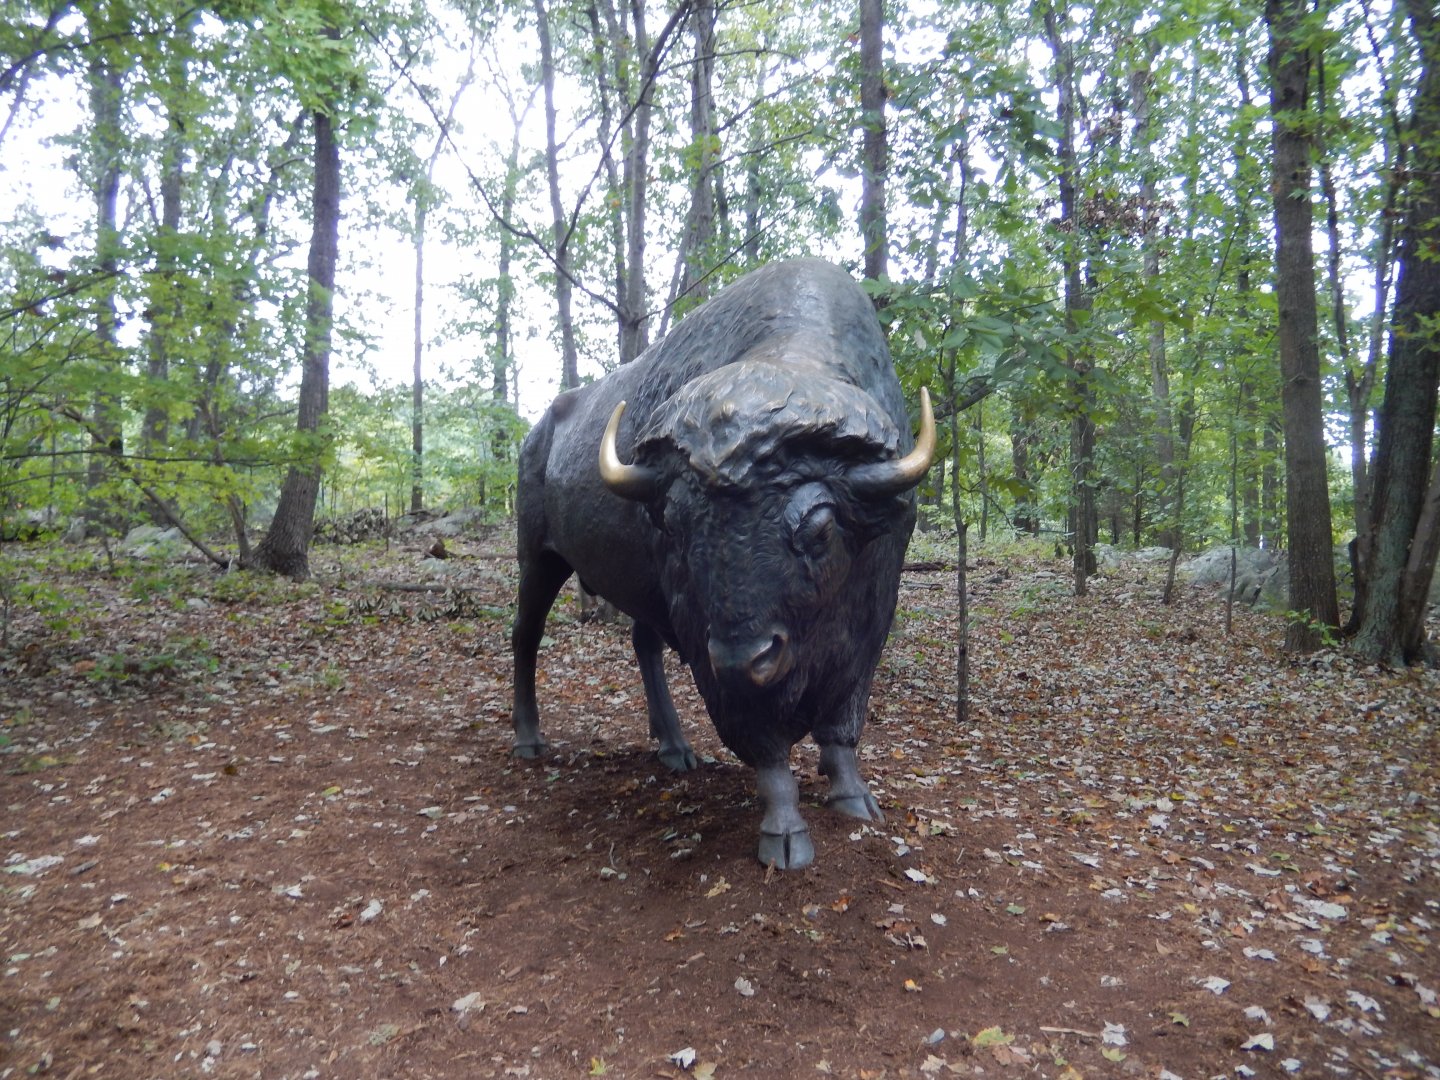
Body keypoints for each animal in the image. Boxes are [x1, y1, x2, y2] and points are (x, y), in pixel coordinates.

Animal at [510, 258, 934, 869]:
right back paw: (529, 740)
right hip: (538, 556)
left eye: (820, 526)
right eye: (676, 522)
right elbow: (764, 743)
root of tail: (536, 434)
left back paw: (675, 748)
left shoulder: (870, 624)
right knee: (526, 634)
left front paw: (855, 800)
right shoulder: (711, 650)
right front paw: (785, 837)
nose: (745, 657)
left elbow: (841, 723)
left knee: (641, 643)